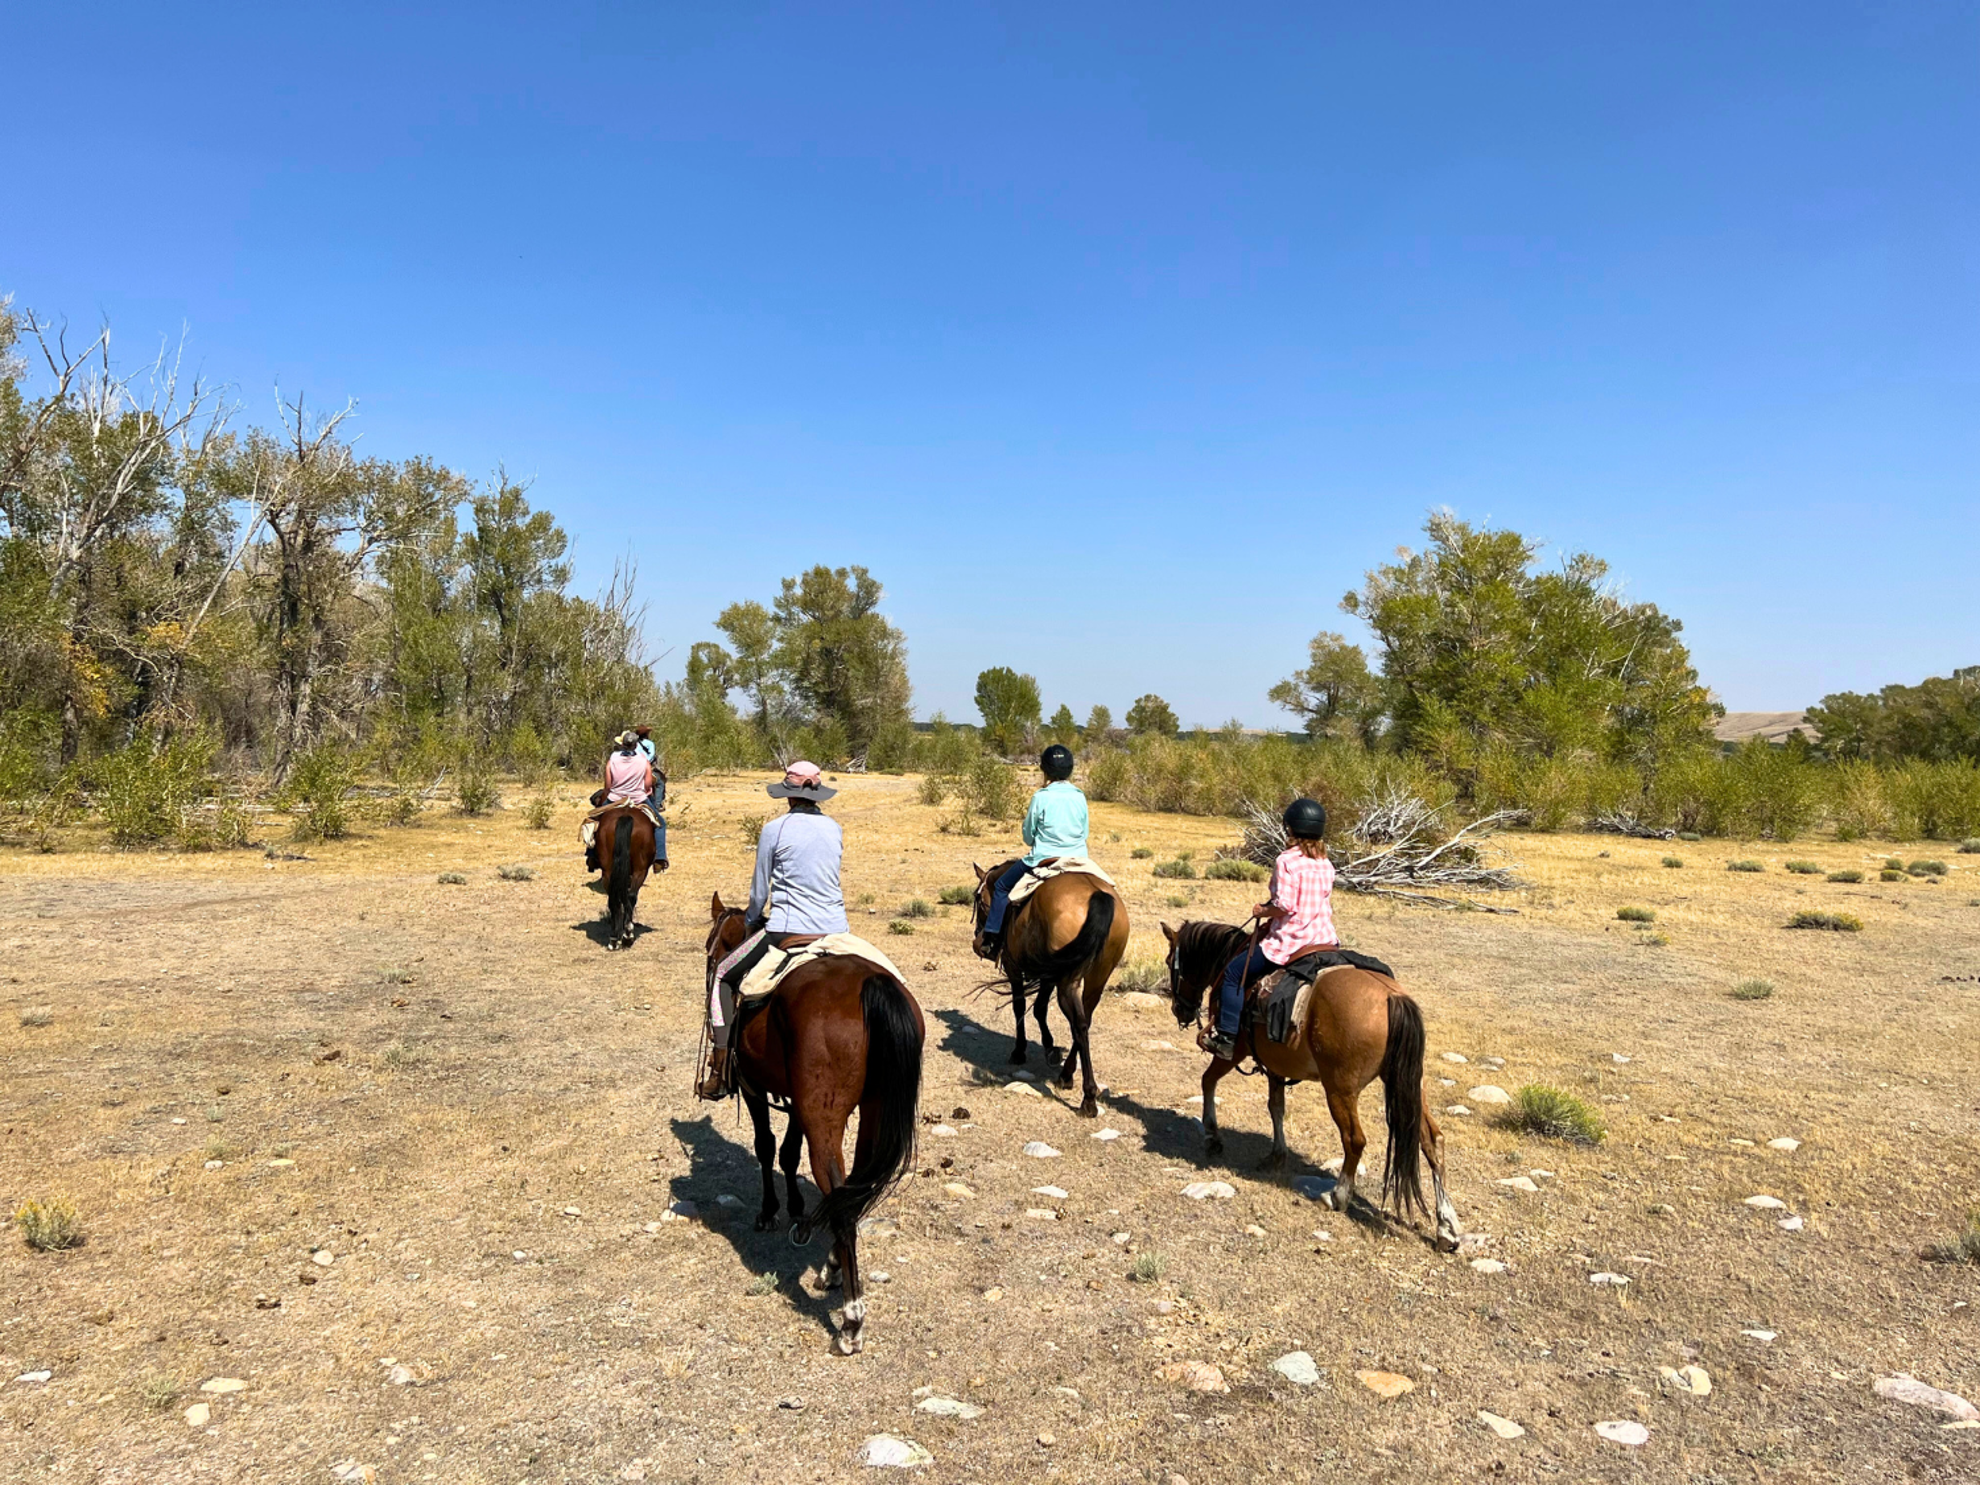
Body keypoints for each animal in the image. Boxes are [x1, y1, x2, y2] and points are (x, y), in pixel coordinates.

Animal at [590, 803, 661, 954]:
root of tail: (625, 815)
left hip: (608, 872)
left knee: (613, 900)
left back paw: (613, 940)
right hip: (641, 871)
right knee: (631, 896)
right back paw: (628, 936)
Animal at [704, 894, 926, 1362]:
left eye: (711, 952)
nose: (712, 966)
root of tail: (871, 985)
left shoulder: (755, 1088)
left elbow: (767, 1146)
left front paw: (771, 1211)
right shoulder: (796, 1102)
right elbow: (788, 1152)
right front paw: (796, 1213)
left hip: (824, 1119)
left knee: (840, 1197)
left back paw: (851, 1322)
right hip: (870, 1113)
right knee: (851, 1191)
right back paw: (831, 1270)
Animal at [970, 867, 1132, 1124]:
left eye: (978, 897)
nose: (980, 943)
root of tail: (1098, 895)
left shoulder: (1014, 966)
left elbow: (1019, 1006)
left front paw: (1019, 1051)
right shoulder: (1049, 972)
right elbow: (1040, 1008)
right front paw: (1050, 1047)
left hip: (1067, 981)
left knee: (1079, 1024)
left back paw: (1088, 1099)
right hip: (1096, 977)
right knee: (1085, 1021)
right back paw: (1067, 1075)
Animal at [1156, 918, 1457, 1259]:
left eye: (1169, 961)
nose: (1180, 1011)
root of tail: (1391, 997)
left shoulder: (1236, 1050)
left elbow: (1208, 1081)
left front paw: (1212, 1135)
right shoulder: (1274, 1063)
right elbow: (1276, 1107)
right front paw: (1276, 1155)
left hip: (1340, 1089)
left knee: (1355, 1140)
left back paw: (1337, 1196)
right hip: (1410, 1086)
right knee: (1432, 1140)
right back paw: (1447, 1228)